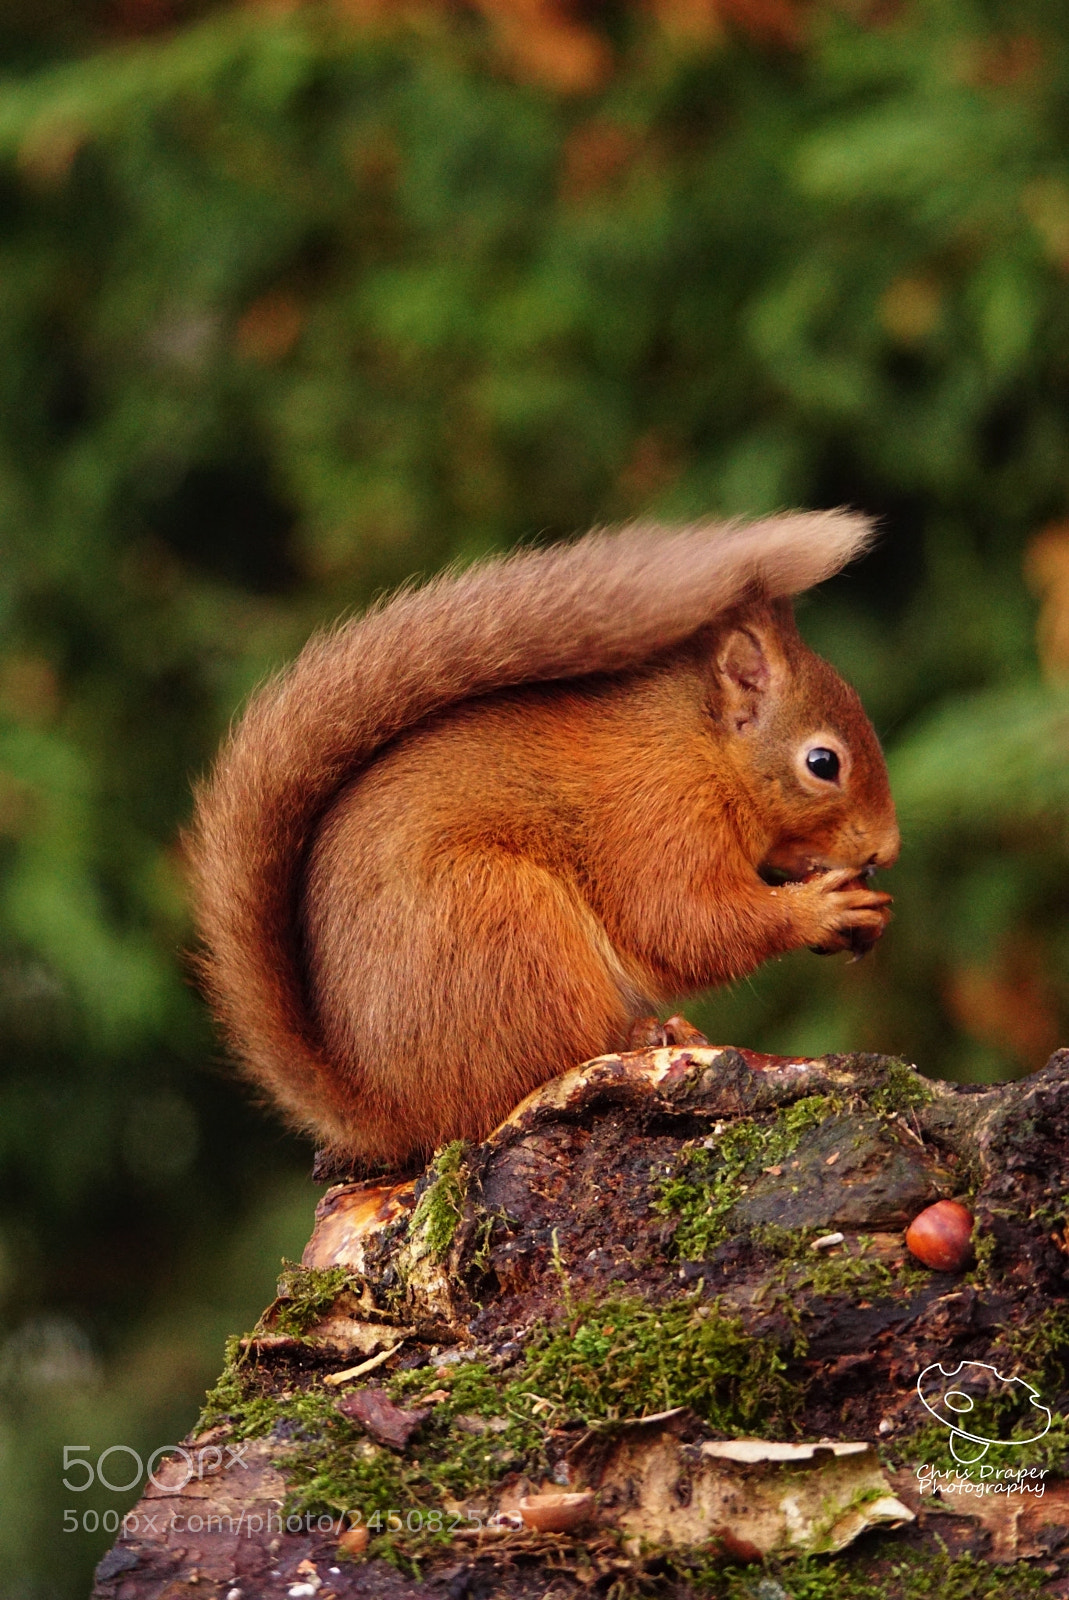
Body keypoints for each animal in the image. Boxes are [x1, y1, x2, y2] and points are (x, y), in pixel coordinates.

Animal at [187, 511, 899, 1170]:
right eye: (823, 763)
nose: (886, 851)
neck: (701, 748)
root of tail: (391, 1112)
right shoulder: (658, 815)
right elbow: (682, 921)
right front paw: (820, 908)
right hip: (505, 926)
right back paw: (646, 1034)